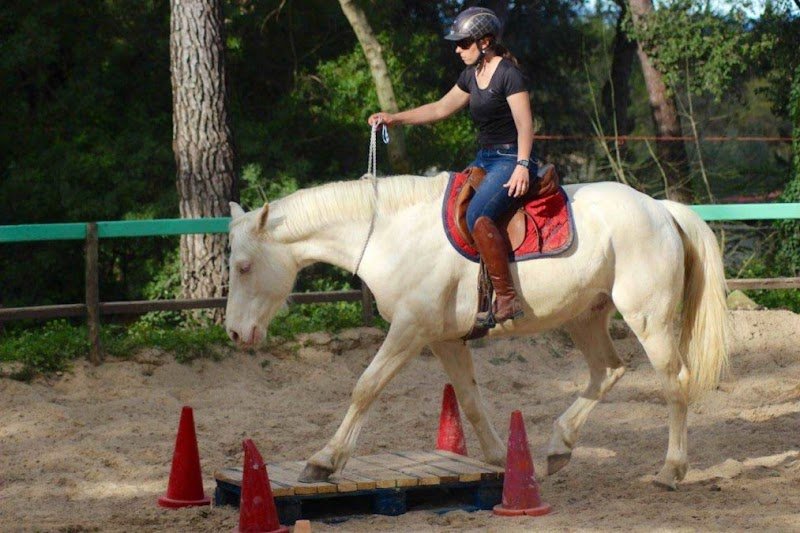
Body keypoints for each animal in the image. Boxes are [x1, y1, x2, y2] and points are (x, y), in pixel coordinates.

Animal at [224, 172, 730, 490]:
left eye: (243, 266)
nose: (234, 334)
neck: (391, 234)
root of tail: (660, 209)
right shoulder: (443, 339)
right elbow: (469, 400)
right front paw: (502, 460)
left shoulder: (410, 330)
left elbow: (366, 387)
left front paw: (323, 461)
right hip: (584, 317)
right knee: (606, 372)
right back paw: (558, 448)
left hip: (649, 319)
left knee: (674, 382)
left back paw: (671, 470)